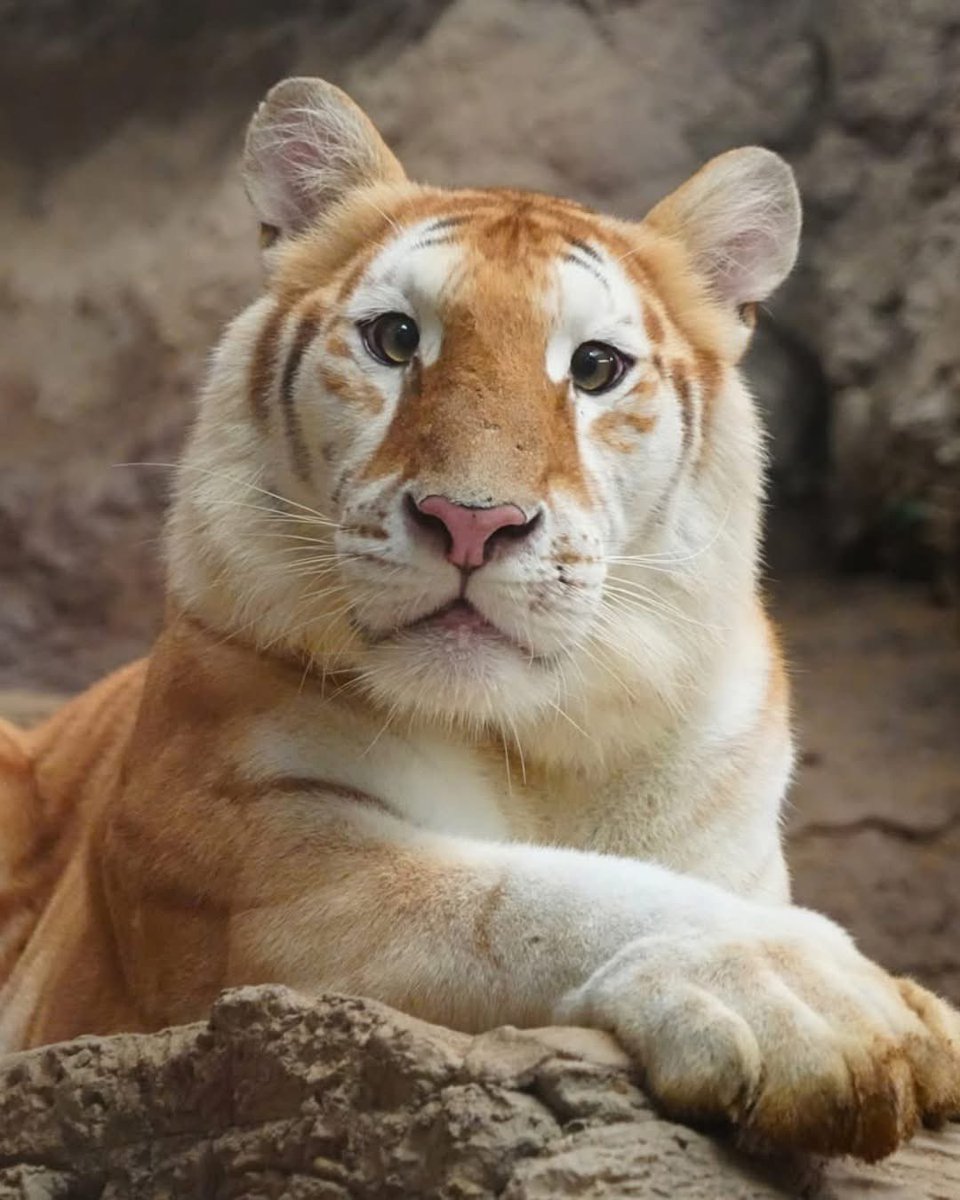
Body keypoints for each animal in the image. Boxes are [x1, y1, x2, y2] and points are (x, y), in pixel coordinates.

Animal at [1, 76, 958, 1163]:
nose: (471, 522)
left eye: (595, 367)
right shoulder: (251, 866)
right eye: (395, 340)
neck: (542, 743)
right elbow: (528, 895)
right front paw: (819, 1004)